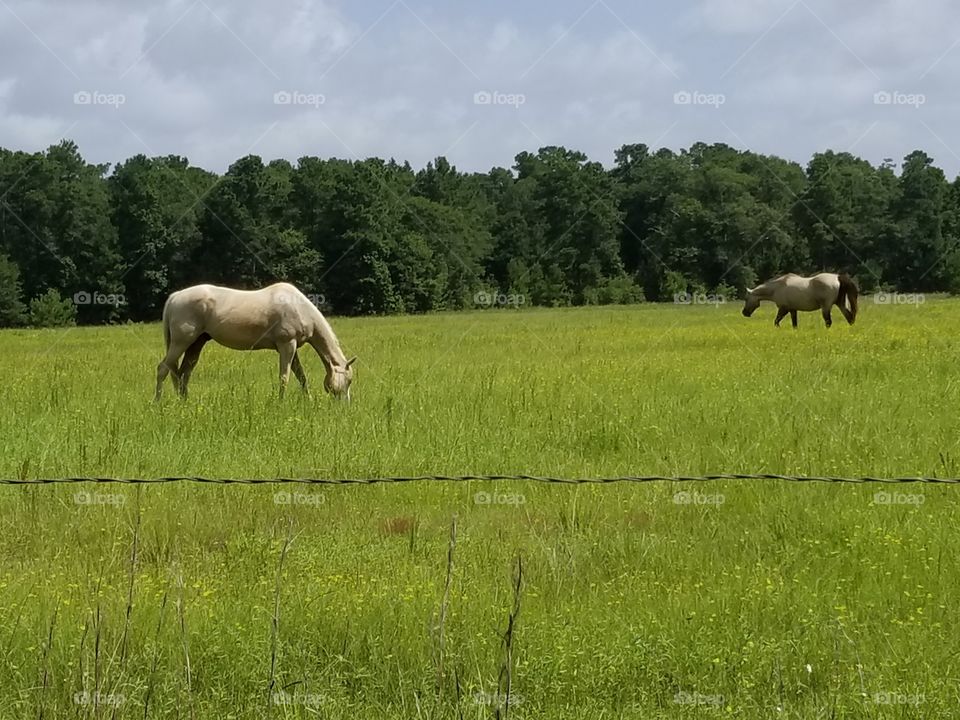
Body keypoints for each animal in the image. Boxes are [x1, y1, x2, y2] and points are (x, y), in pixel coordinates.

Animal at [155, 283, 356, 401]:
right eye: (348, 381)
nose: (344, 405)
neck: (299, 308)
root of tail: (175, 297)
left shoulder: (292, 348)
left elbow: (301, 376)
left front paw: (308, 400)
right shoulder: (287, 345)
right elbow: (284, 377)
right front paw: (280, 402)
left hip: (196, 343)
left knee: (183, 373)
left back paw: (184, 401)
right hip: (181, 342)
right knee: (164, 368)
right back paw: (158, 402)